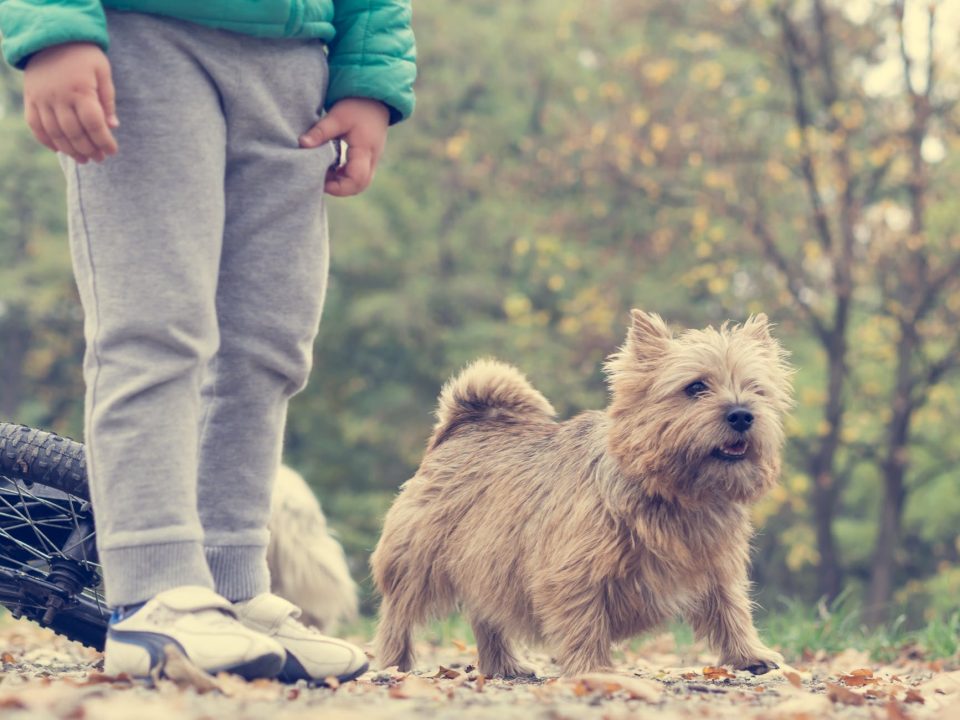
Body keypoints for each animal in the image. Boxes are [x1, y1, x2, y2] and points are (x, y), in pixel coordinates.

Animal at [372, 310, 792, 676]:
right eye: (696, 387)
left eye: (756, 389)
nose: (742, 414)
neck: (678, 493)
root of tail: (463, 426)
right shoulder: (574, 570)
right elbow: (583, 619)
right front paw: (593, 668)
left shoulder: (717, 564)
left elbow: (732, 609)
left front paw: (750, 655)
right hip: (416, 561)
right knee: (398, 614)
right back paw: (392, 663)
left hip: (487, 564)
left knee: (486, 617)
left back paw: (504, 665)